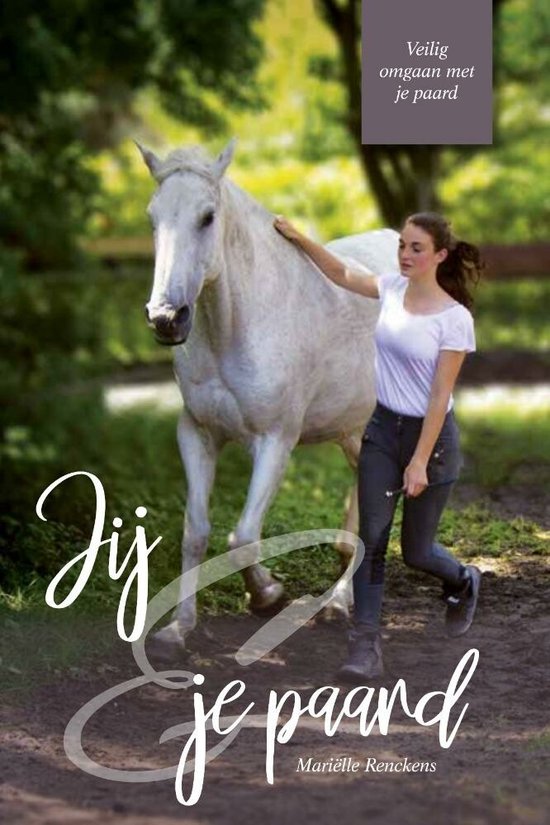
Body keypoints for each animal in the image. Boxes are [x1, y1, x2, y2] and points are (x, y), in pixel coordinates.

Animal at [137, 138, 399, 653]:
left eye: (207, 216)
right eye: (153, 217)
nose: (166, 318)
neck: (238, 325)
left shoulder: (276, 441)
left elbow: (242, 537)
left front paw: (269, 596)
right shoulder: (197, 434)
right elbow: (195, 531)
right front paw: (179, 627)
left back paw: (340, 603)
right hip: (353, 430)